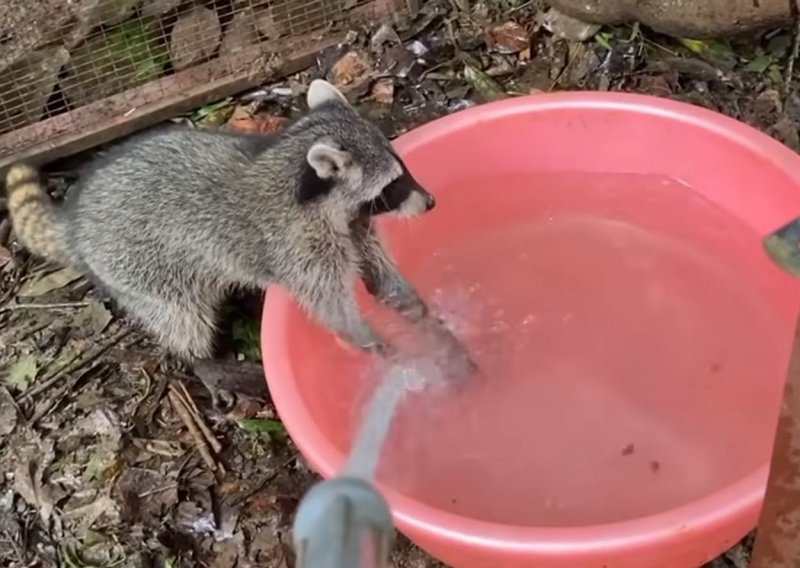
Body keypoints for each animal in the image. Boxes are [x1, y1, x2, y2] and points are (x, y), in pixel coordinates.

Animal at [4, 79, 450, 364]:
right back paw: (205, 363)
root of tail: (75, 222)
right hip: (139, 268)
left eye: (401, 168)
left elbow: (377, 271)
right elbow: (330, 302)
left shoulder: (354, 223)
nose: (430, 202)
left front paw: (410, 304)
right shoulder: (301, 249)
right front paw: (369, 340)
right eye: (393, 185)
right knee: (182, 316)